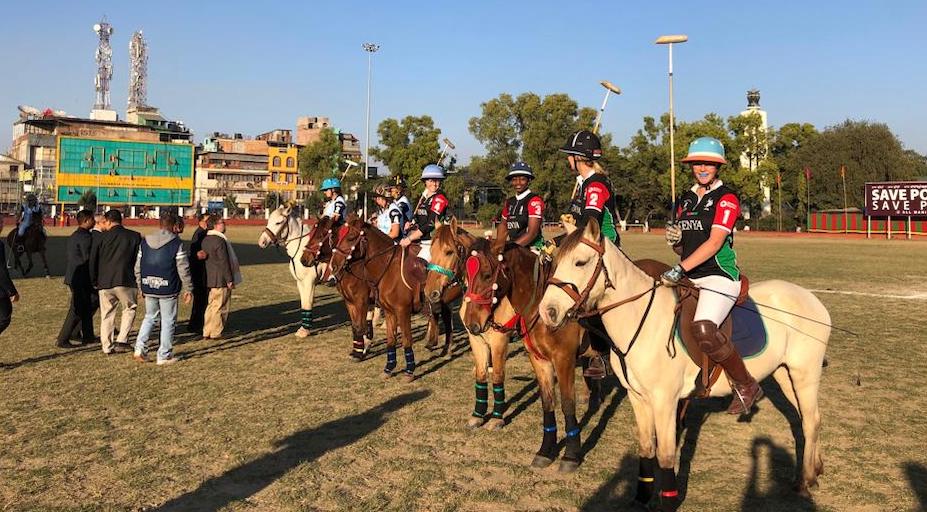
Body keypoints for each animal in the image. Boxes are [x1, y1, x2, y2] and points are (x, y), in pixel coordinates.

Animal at [258, 206, 322, 338]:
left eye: (278, 222)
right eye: (268, 220)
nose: (261, 242)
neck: (302, 249)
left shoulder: (310, 282)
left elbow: (308, 302)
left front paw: (304, 331)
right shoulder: (300, 282)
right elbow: (303, 303)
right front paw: (303, 329)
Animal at [540, 221, 832, 512]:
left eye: (580, 262)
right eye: (555, 261)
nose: (547, 311)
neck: (640, 319)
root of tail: (813, 300)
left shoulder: (665, 400)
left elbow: (666, 454)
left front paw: (667, 501)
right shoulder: (637, 397)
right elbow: (646, 448)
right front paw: (641, 497)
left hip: (805, 374)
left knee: (811, 420)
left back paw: (805, 480)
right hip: (784, 373)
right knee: (807, 418)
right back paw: (814, 470)